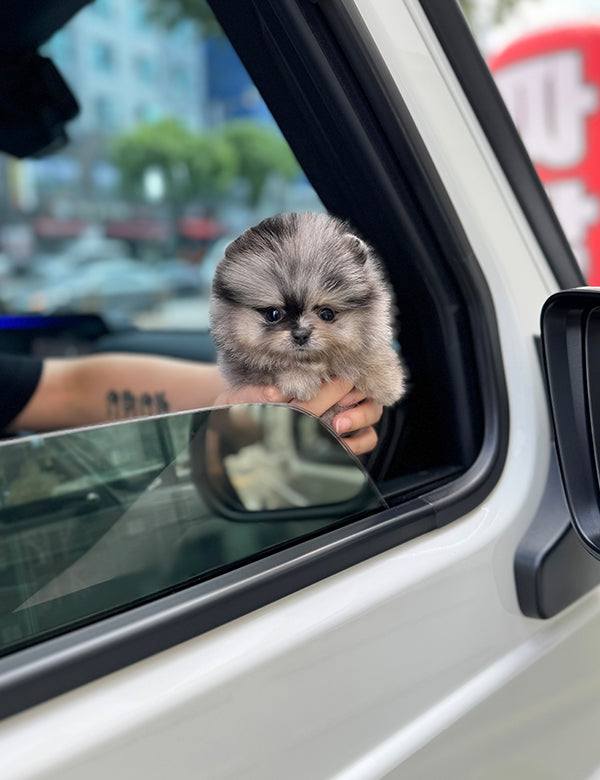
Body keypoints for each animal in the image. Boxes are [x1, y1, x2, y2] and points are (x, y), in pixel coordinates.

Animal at [207, 210, 408, 424]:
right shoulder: (244, 369)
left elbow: (367, 353)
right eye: (273, 314)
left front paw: (386, 381)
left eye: (327, 314)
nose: (301, 334)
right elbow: (271, 364)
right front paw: (299, 378)